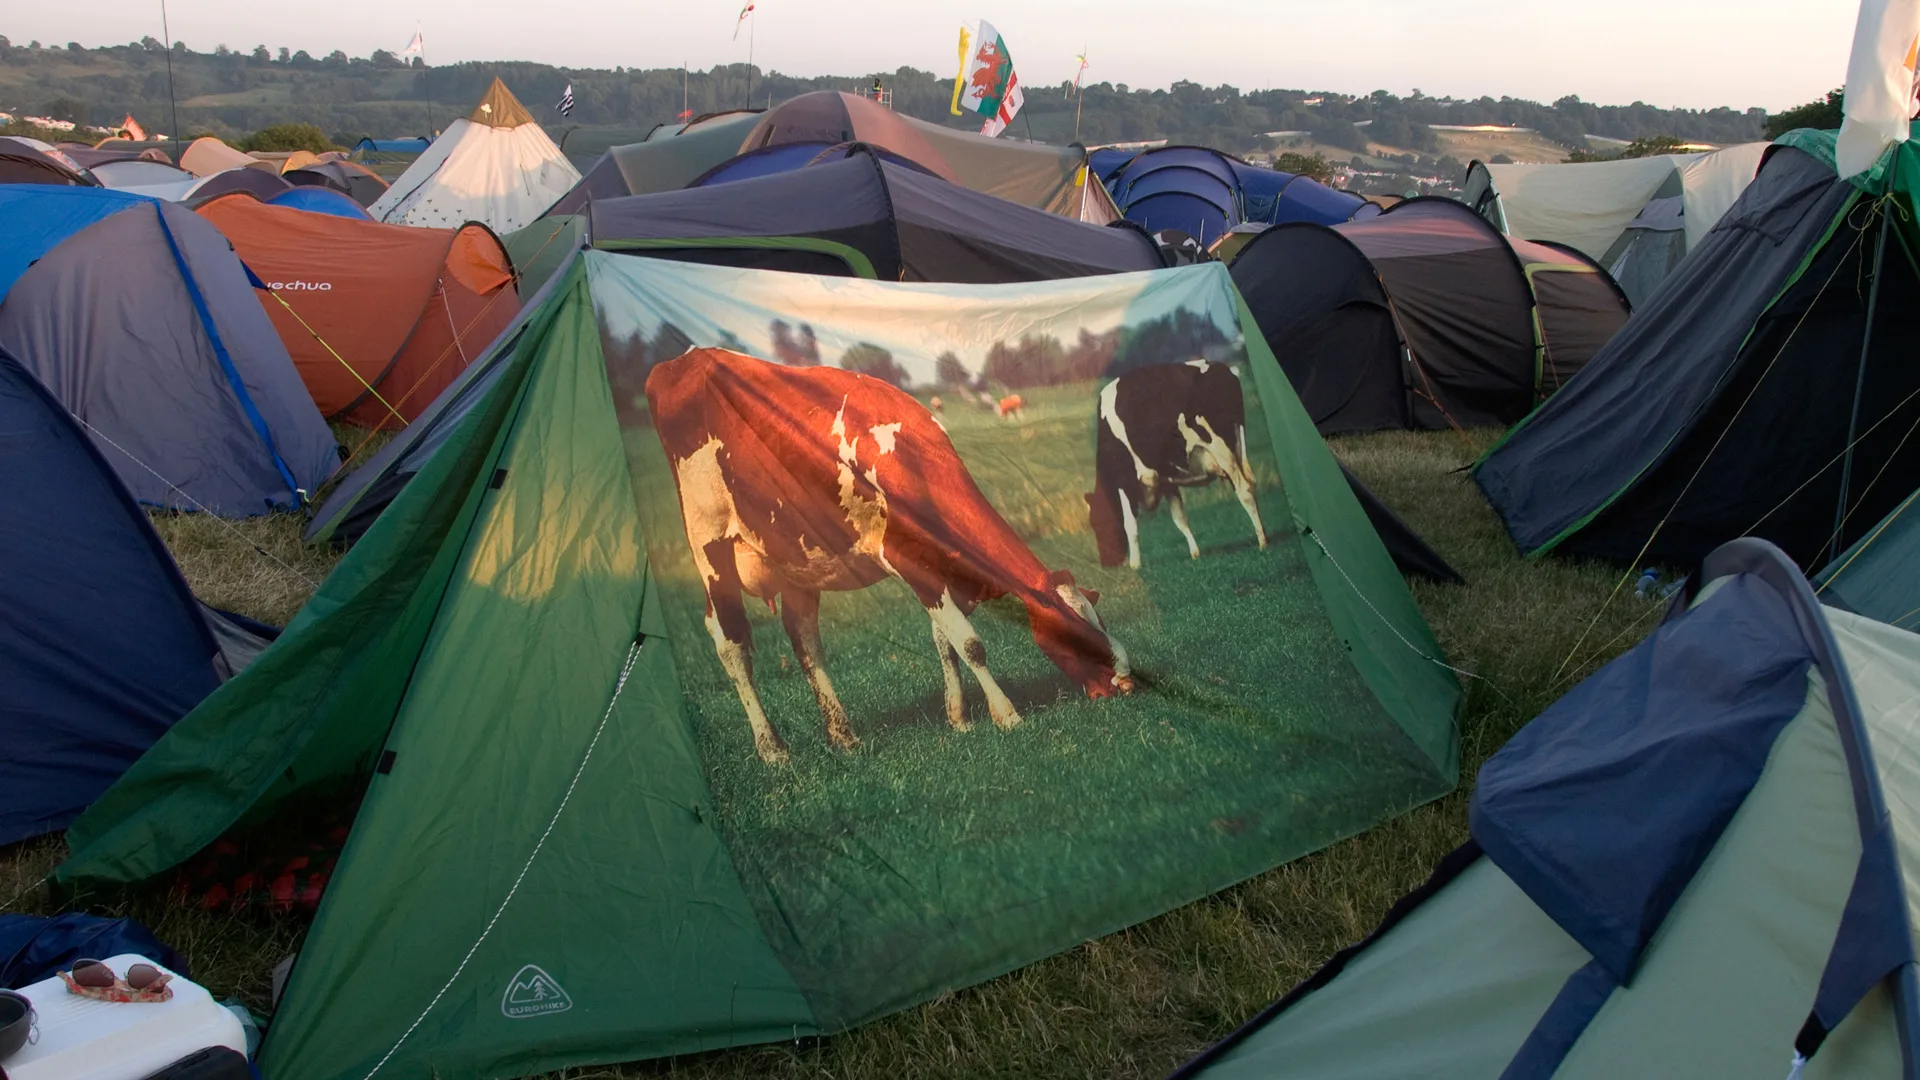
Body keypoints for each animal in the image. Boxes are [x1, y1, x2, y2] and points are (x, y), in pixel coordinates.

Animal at [645, 349, 1128, 760]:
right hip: (710, 545)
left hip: (797, 555)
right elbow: (970, 643)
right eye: (1076, 637)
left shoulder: (941, 570)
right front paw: (1006, 715)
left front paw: (959, 718)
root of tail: (683, 361)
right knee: (730, 641)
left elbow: (945, 641)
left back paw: (843, 735)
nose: (1126, 682)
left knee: (804, 637)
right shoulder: (908, 559)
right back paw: (773, 750)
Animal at [1090, 359, 1267, 568]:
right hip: (1237, 446)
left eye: (1097, 524)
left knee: (1244, 490)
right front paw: (1195, 553)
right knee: (1251, 484)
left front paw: (1135, 565)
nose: (1106, 563)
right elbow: (1179, 517)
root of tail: (1222, 368)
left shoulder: (1124, 480)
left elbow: (1130, 524)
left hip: (1222, 449)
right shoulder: (1166, 480)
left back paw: (1262, 542)